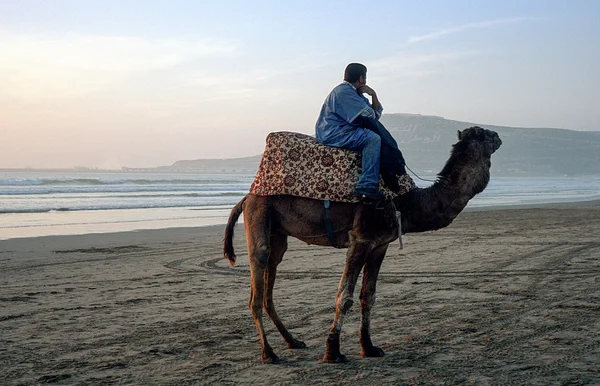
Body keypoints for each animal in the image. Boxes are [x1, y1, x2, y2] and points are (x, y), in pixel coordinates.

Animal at [223, 126, 500, 362]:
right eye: (482, 134)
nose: (498, 135)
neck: (406, 201)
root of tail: (247, 196)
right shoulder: (361, 239)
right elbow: (344, 296)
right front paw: (333, 352)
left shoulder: (380, 244)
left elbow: (369, 296)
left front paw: (369, 347)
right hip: (259, 214)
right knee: (257, 279)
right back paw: (269, 353)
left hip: (277, 232)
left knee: (270, 279)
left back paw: (293, 341)